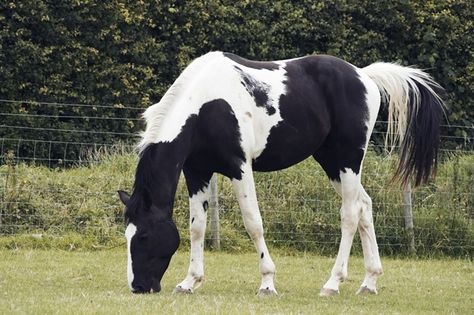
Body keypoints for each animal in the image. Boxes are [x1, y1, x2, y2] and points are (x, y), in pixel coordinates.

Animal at [118, 51, 444, 296]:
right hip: (333, 163)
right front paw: (189, 282)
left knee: (350, 213)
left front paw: (267, 283)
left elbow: (254, 223)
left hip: (348, 161)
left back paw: (333, 283)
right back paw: (369, 282)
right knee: (365, 205)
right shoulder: (197, 171)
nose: (138, 286)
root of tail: (365, 76)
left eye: (143, 236)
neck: (205, 105)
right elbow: (197, 227)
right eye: (128, 234)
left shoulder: (239, 167)